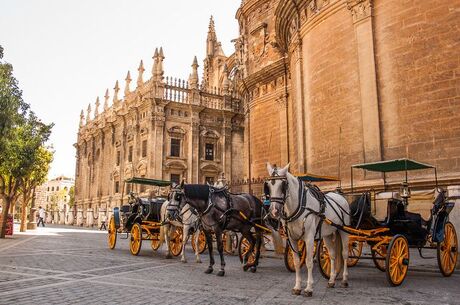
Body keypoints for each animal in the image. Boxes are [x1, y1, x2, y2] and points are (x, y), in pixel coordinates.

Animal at [266, 163, 348, 296]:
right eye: (268, 185)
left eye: (283, 185)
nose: (274, 211)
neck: (299, 206)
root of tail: (339, 195)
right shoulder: (292, 239)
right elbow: (296, 262)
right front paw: (297, 287)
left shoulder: (309, 238)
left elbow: (309, 261)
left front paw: (309, 288)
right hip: (328, 234)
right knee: (332, 255)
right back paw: (331, 280)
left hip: (344, 230)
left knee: (345, 254)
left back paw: (345, 279)